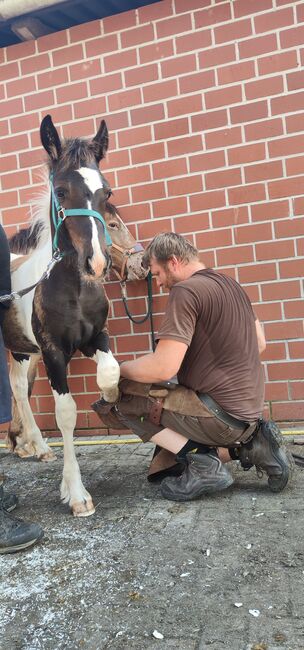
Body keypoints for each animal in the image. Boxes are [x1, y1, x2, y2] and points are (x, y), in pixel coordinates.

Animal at [3, 114, 122, 512]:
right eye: (60, 191)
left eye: (107, 192)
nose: (96, 263)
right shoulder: (54, 352)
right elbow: (66, 413)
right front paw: (76, 493)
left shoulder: (95, 338)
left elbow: (111, 373)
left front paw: (112, 400)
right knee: (18, 388)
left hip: (24, 350)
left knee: (19, 387)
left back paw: (33, 445)